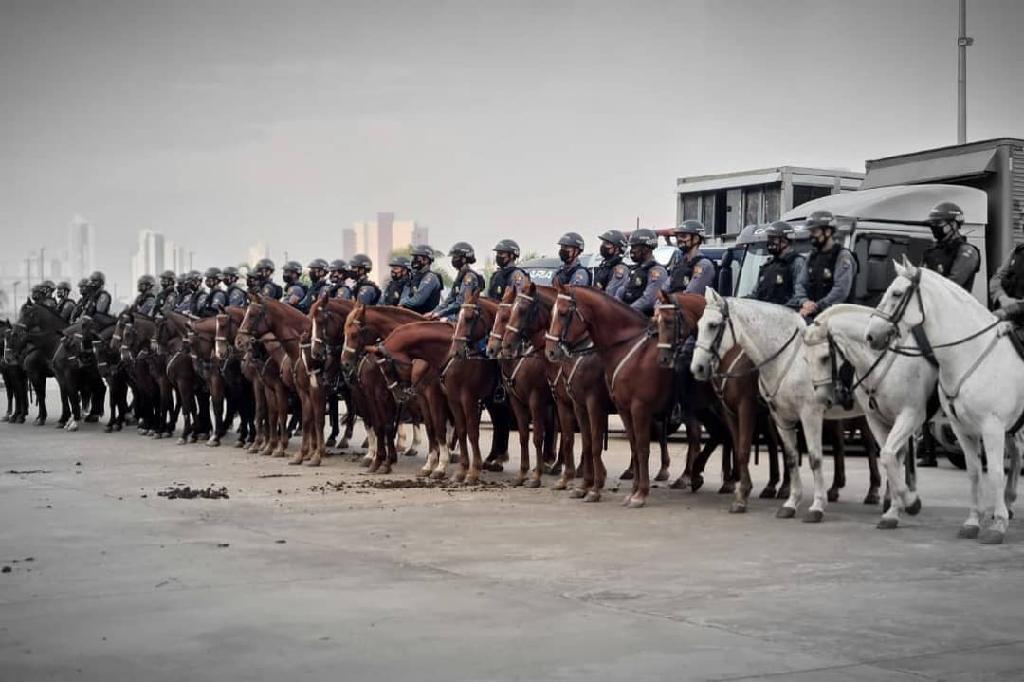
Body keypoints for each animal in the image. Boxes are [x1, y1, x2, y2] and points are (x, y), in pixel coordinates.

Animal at [692, 288, 860, 520]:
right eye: (699, 324)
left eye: (713, 325)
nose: (697, 368)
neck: (788, 359)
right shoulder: (771, 415)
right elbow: (787, 456)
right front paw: (789, 503)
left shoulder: (806, 414)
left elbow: (813, 458)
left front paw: (816, 506)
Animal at [802, 305, 933, 528]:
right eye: (806, 360)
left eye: (825, 358)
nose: (821, 399)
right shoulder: (878, 419)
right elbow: (892, 457)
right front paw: (894, 510)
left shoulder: (911, 414)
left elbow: (889, 455)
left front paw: (909, 502)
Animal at [864, 259, 1024, 540]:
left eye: (896, 293)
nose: (872, 335)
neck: (970, 354)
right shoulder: (963, 429)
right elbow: (974, 472)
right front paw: (972, 522)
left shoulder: (992, 427)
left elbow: (994, 472)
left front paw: (998, 525)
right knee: (1017, 453)